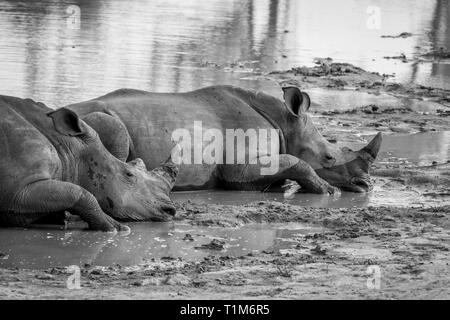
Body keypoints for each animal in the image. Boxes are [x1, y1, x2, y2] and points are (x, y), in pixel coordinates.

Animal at [0, 94, 179, 231]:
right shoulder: (18, 192)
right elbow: (79, 193)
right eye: (129, 174)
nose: (170, 211)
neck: (69, 150)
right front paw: (114, 227)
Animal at [68, 85, 382, 194]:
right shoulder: (238, 167)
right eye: (328, 157)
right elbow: (296, 161)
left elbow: (288, 165)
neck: (285, 123)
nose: (365, 185)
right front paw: (329, 191)